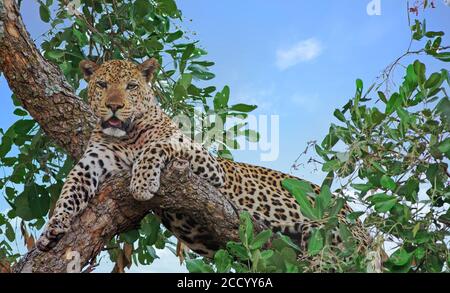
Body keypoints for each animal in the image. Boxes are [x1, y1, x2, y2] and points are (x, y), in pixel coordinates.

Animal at [36, 57, 372, 262]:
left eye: (131, 86)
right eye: (102, 85)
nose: (114, 106)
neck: (127, 137)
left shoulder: (205, 161)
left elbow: (156, 147)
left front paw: (142, 183)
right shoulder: (92, 162)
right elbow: (70, 190)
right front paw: (54, 227)